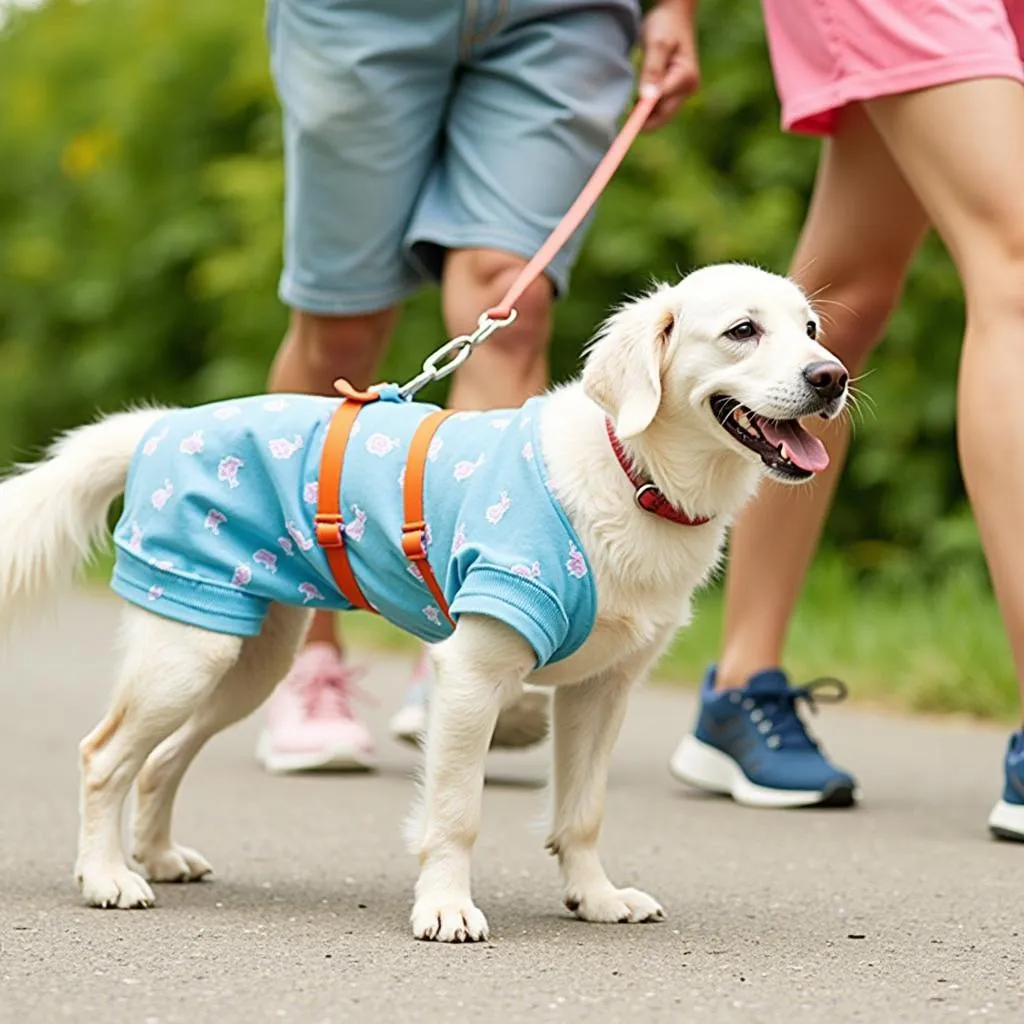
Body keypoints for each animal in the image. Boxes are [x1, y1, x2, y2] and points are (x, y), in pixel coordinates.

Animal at [0, 262, 847, 942]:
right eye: (742, 331)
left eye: (810, 329)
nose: (832, 377)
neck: (631, 471)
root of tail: (161, 427)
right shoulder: (471, 677)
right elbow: (455, 814)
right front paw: (445, 908)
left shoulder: (600, 691)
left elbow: (582, 812)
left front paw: (597, 897)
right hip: (189, 651)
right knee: (105, 755)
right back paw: (108, 876)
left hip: (246, 660)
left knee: (158, 763)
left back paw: (159, 857)